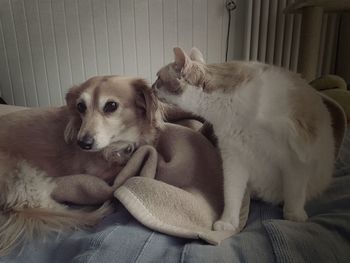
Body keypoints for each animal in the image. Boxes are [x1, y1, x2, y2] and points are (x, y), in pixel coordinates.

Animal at [152, 47, 334, 233]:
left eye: (158, 78)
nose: (151, 87)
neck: (229, 108)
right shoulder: (234, 159)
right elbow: (232, 194)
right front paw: (228, 222)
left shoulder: (296, 158)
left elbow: (294, 193)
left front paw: (293, 217)